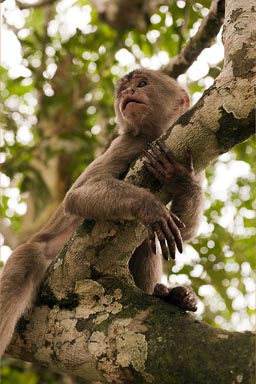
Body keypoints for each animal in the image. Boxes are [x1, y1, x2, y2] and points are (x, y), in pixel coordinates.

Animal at [0, 67, 204, 356]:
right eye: (123, 92)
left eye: (142, 83)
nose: (129, 92)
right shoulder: (128, 143)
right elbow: (75, 198)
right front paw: (149, 206)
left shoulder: (190, 152)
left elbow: (185, 231)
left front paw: (180, 180)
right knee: (25, 264)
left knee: (145, 241)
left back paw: (168, 296)